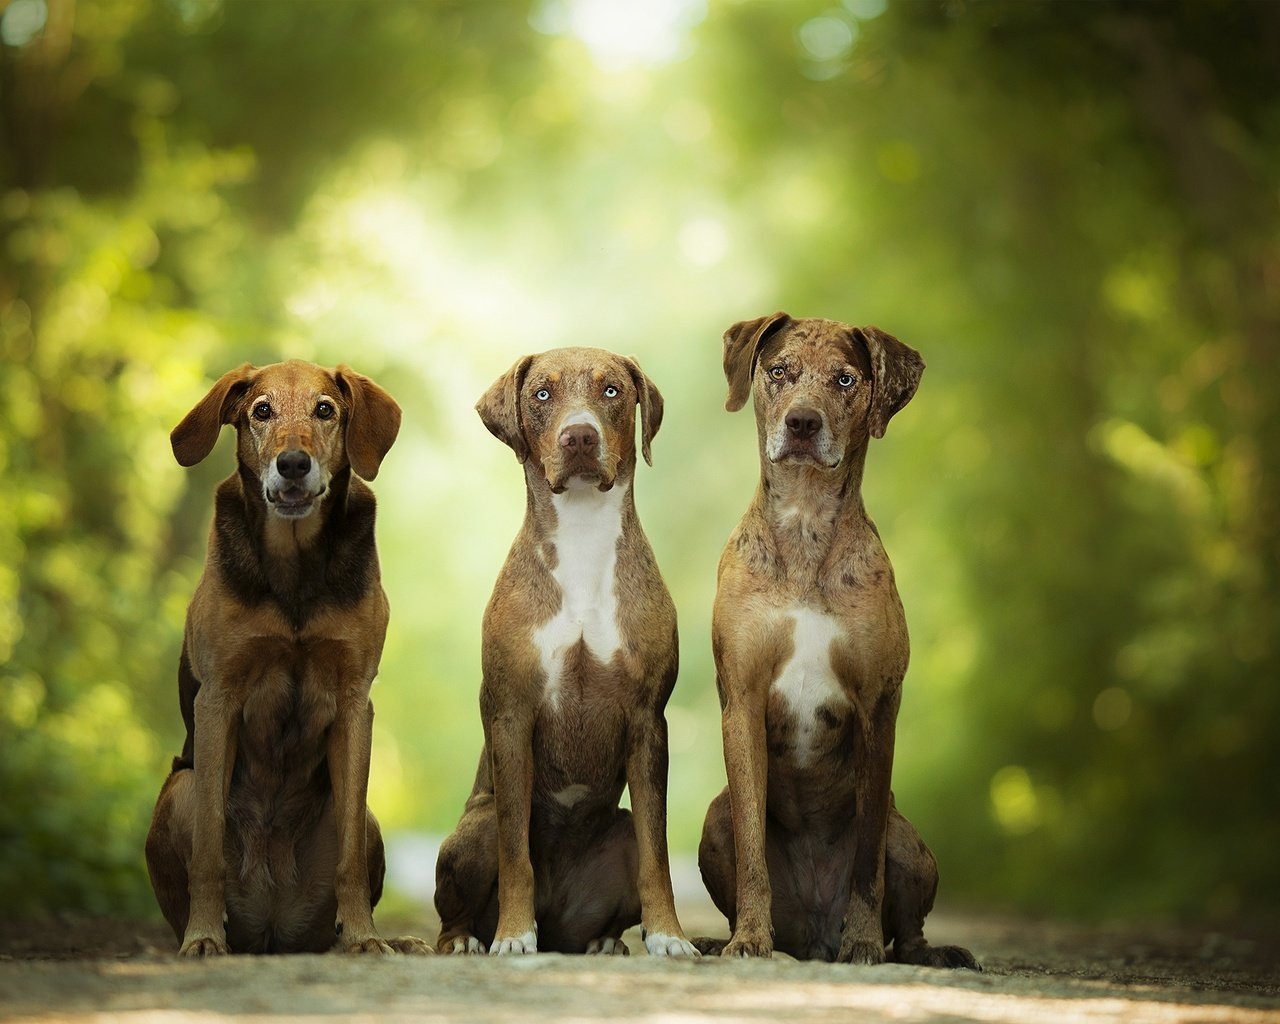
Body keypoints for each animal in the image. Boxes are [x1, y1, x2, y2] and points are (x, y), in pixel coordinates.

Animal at [143, 360, 427, 962]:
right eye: (261, 410)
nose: (293, 463)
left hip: (367, 820)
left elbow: (349, 860)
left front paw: (366, 937)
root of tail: (273, 928)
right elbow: (207, 853)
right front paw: (204, 936)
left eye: (325, 410)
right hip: (180, 790)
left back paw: (387, 939)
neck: (295, 564)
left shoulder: (354, 701)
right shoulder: (218, 697)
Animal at [437, 348, 701, 957]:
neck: (583, 535)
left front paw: (669, 936)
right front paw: (513, 936)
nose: (579, 436)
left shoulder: (648, 718)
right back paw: (468, 940)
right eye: (541, 394)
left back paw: (605, 942)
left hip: (617, 833)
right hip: (476, 828)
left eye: (611, 391)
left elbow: (658, 853)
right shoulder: (510, 714)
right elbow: (516, 851)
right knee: (454, 908)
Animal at [696, 313, 972, 967]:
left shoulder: (877, 708)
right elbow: (752, 844)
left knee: (908, 919)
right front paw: (748, 939)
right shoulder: (742, 699)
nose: (802, 422)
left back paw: (923, 952)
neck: (804, 525)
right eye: (779, 371)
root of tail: (812, 938)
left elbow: (867, 861)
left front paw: (865, 942)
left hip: (912, 843)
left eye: (845, 379)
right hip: (713, 821)